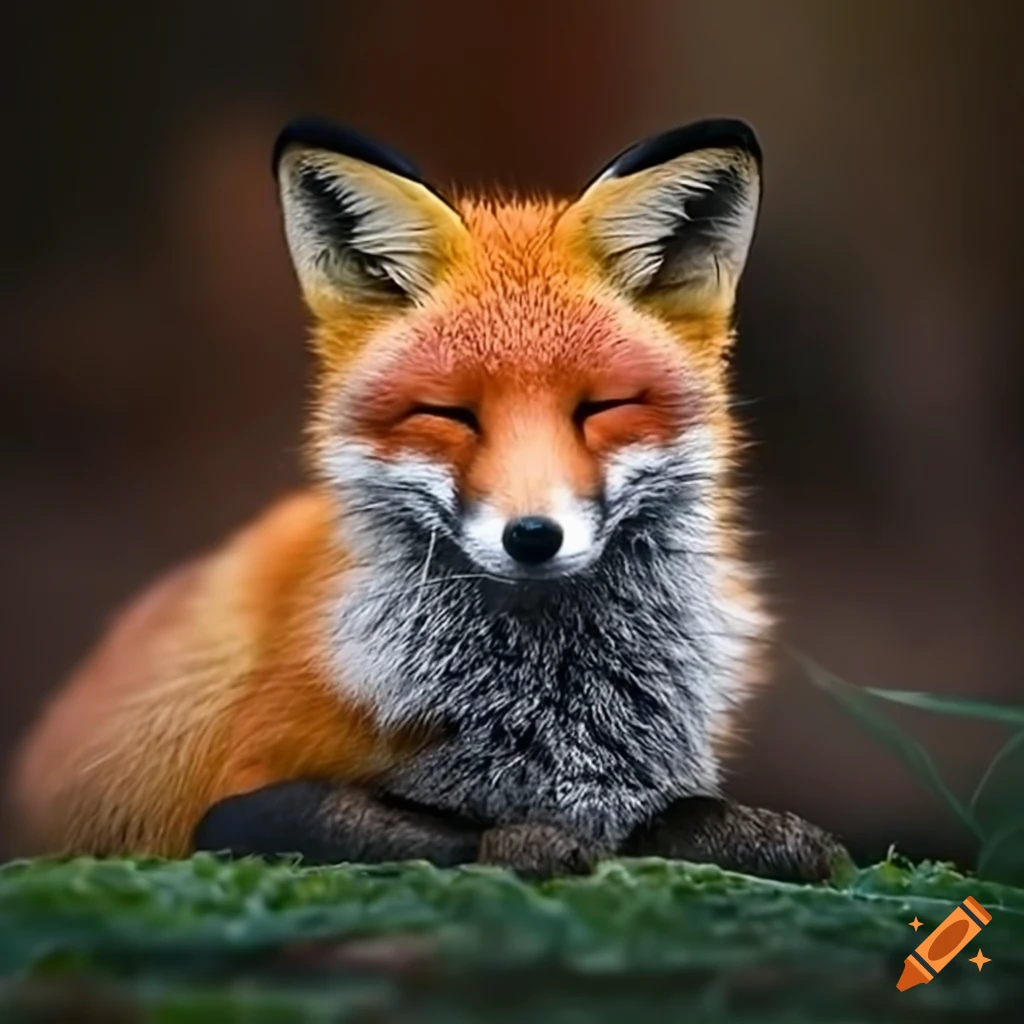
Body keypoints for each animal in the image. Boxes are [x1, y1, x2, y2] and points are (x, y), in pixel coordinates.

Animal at [7, 116, 847, 881]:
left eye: (601, 408)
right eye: (450, 414)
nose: (533, 536)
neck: (547, 697)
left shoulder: (643, 776)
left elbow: (693, 816)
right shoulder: (230, 802)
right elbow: (423, 825)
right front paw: (527, 840)